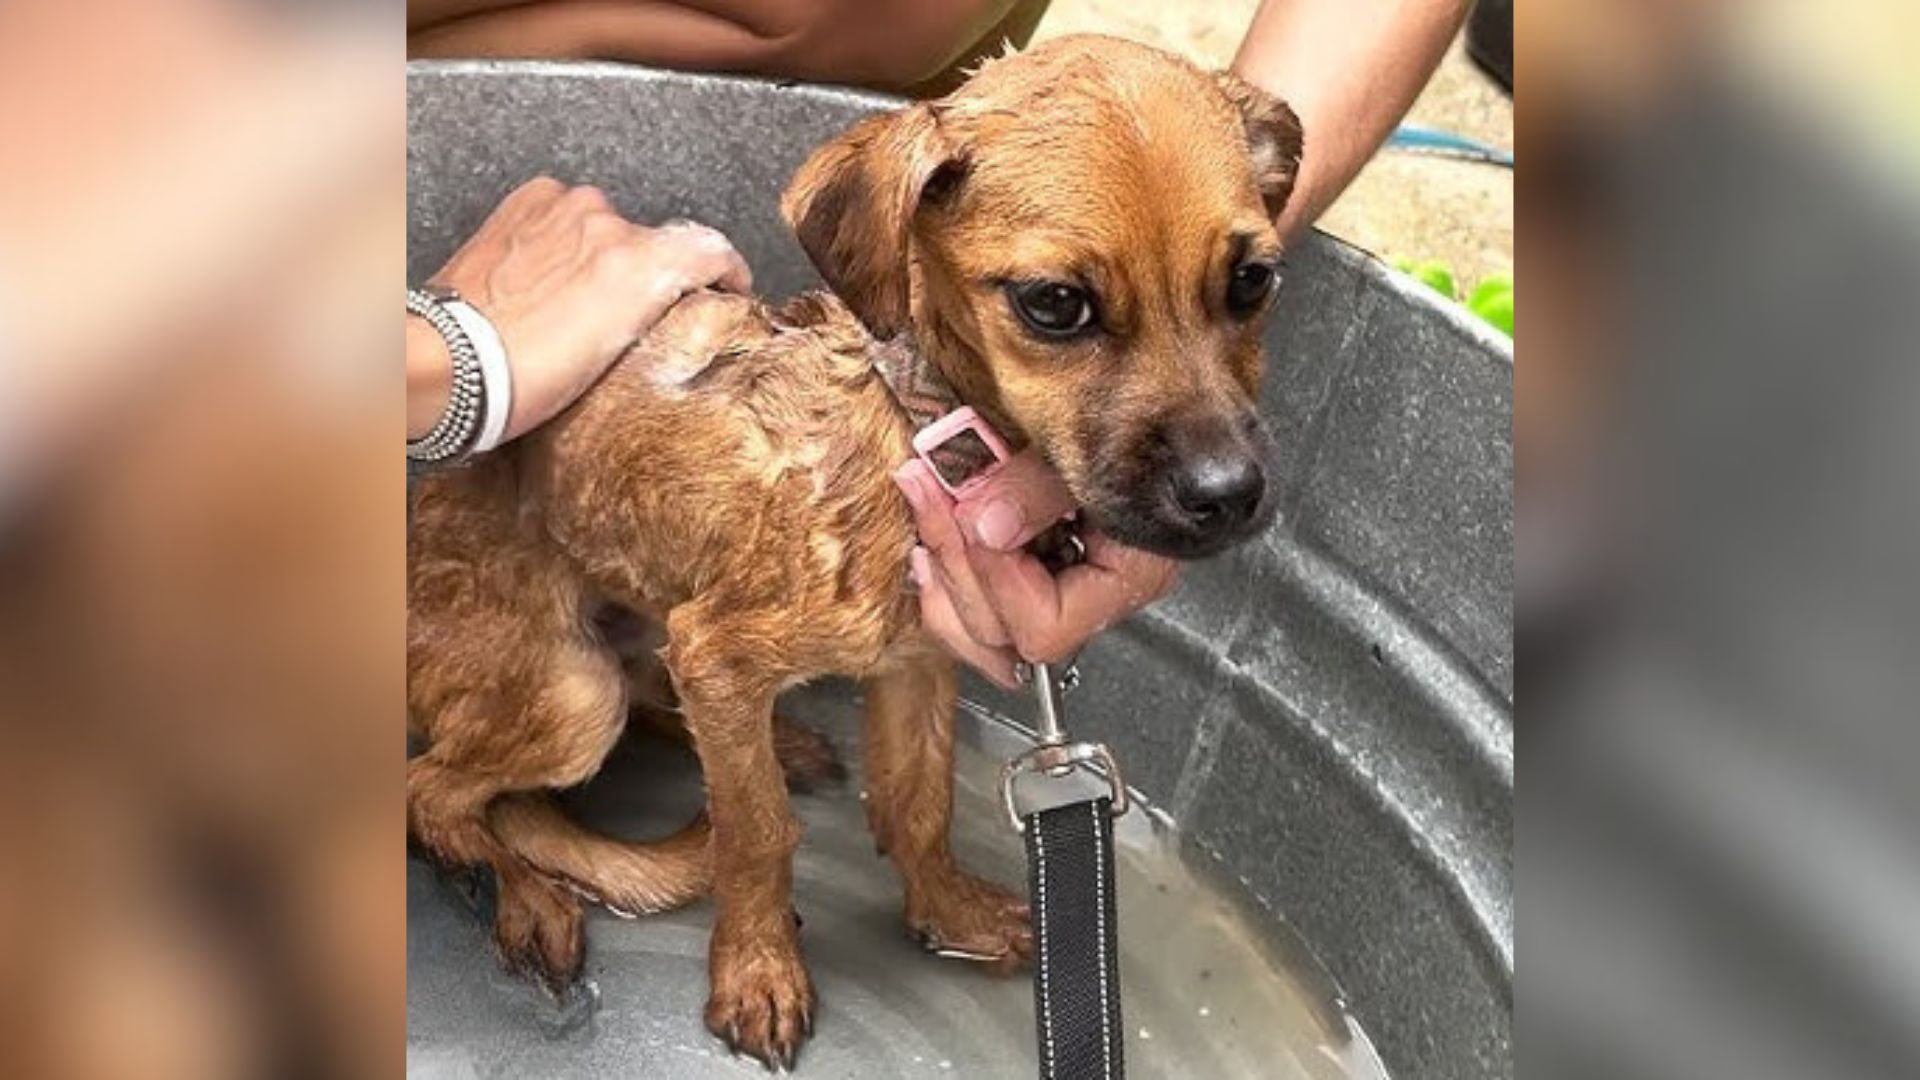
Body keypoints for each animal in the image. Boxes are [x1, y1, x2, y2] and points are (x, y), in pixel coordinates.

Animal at [408, 35, 1305, 1068]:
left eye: (1253, 282)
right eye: (1055, 305)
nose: (1230, 496)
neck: (925, 430)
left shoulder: (914, 665)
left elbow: (917, 804)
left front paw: (950, 912)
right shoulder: (723, 652)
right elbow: (756, 833)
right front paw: (758, 970)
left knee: (633, 701)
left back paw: (781, 746)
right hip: (570, 691)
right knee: (435, 795)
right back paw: (530, 898)